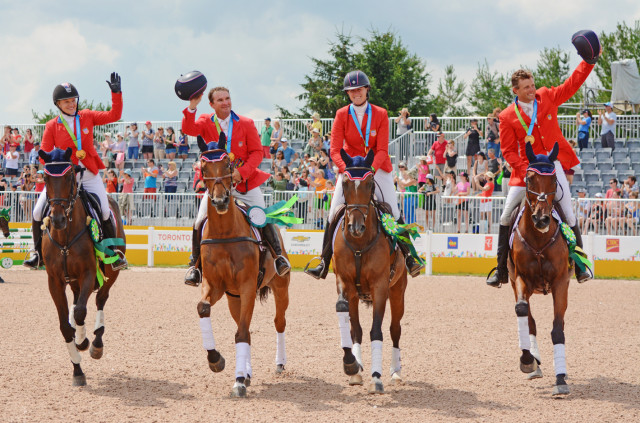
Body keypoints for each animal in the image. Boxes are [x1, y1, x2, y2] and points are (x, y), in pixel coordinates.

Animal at [39, 149, 126, 388]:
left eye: (69, 177)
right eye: (45, 178)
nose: (58, 219)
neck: (65, 236)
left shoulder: (88, 273)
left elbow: (79, 312)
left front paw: (83, 342)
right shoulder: (54, 281)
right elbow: (65, 325)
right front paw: (77, 369)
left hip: (111, 273)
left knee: (100, 300)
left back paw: (96, 342)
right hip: (74, 282)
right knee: (79, 300)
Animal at [195, 135, 290, 398]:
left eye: (228, 165)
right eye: (203, 169)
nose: (220, 201)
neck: (225, 233)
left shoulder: (247, 286)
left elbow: (243, 333)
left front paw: (237, 381)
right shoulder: (215, 286)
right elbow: (204, 309)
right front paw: (216, 360)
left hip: (280, 288)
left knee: (278, 323)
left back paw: (279, 364)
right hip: (233, 297)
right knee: (242, 325)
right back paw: (246, 373)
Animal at [332, 149, 408, 394]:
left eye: (371, 184)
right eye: (345, 184)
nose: (356, 227)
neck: (359, 243)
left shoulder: (380, 287)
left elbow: (377, 330)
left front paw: (377, 377)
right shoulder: (344, 282)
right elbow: (349, 320)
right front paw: (351, 365)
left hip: (398, 291)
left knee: (395, 329)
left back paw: (395, 372)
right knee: (357, 329)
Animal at [508, 142, 572, 398]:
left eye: (553, 180)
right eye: (529, 178)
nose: (542, 219)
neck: (537, 238)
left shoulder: (561, 282)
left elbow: (558, 330)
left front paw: (561, 378)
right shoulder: (520, 279)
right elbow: (522, 311)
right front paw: (527, 360)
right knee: (529, 318)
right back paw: (533, 362)